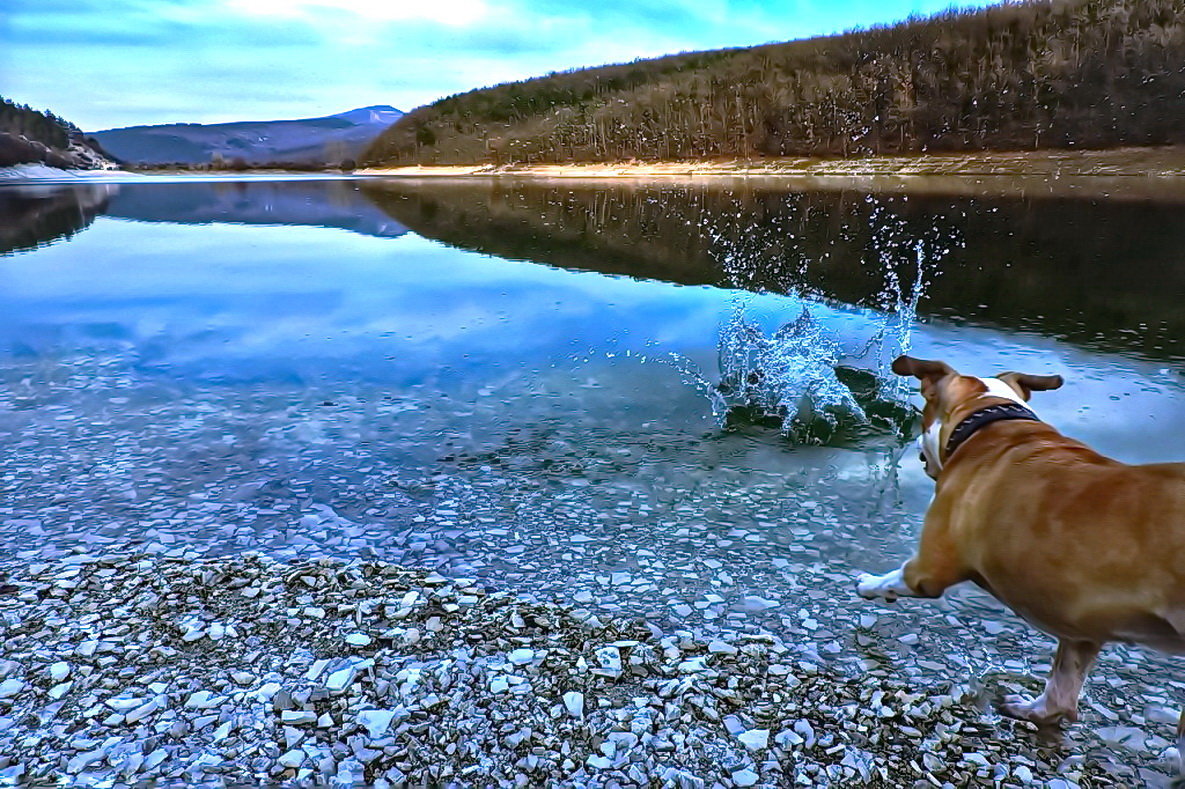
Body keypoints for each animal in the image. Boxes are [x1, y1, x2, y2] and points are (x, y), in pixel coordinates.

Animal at [857, 355, 1180, 748]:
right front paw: (1034, 711)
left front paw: (867, 583)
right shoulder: (1082, 631)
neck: (992, 422)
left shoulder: (928, 570)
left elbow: (892, 578)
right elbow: (1061, 690)